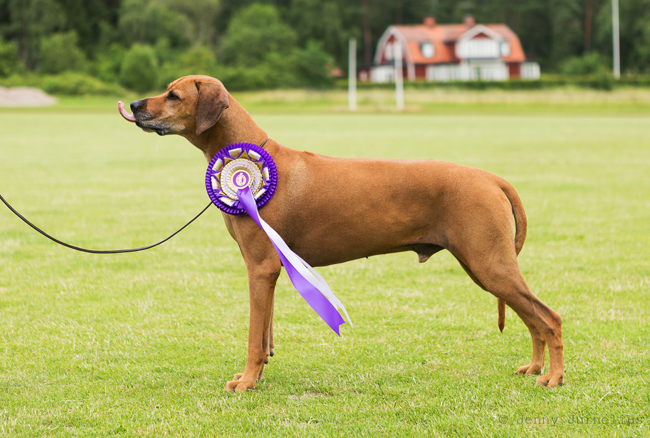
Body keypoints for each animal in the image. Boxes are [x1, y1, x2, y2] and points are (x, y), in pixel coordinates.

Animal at [123, 73, 560, 392]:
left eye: (173, 95)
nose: (134, 106)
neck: (244, 153)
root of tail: (491, 178)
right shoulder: (270, 269)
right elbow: (265, 335)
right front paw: (256, 377)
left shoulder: (260, 267)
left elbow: (252, 336)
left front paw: (246, 382)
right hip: (487, 265)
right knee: (533, 318)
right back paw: (536, 367)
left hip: (489, 263)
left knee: (548, 317)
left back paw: (553, 376)